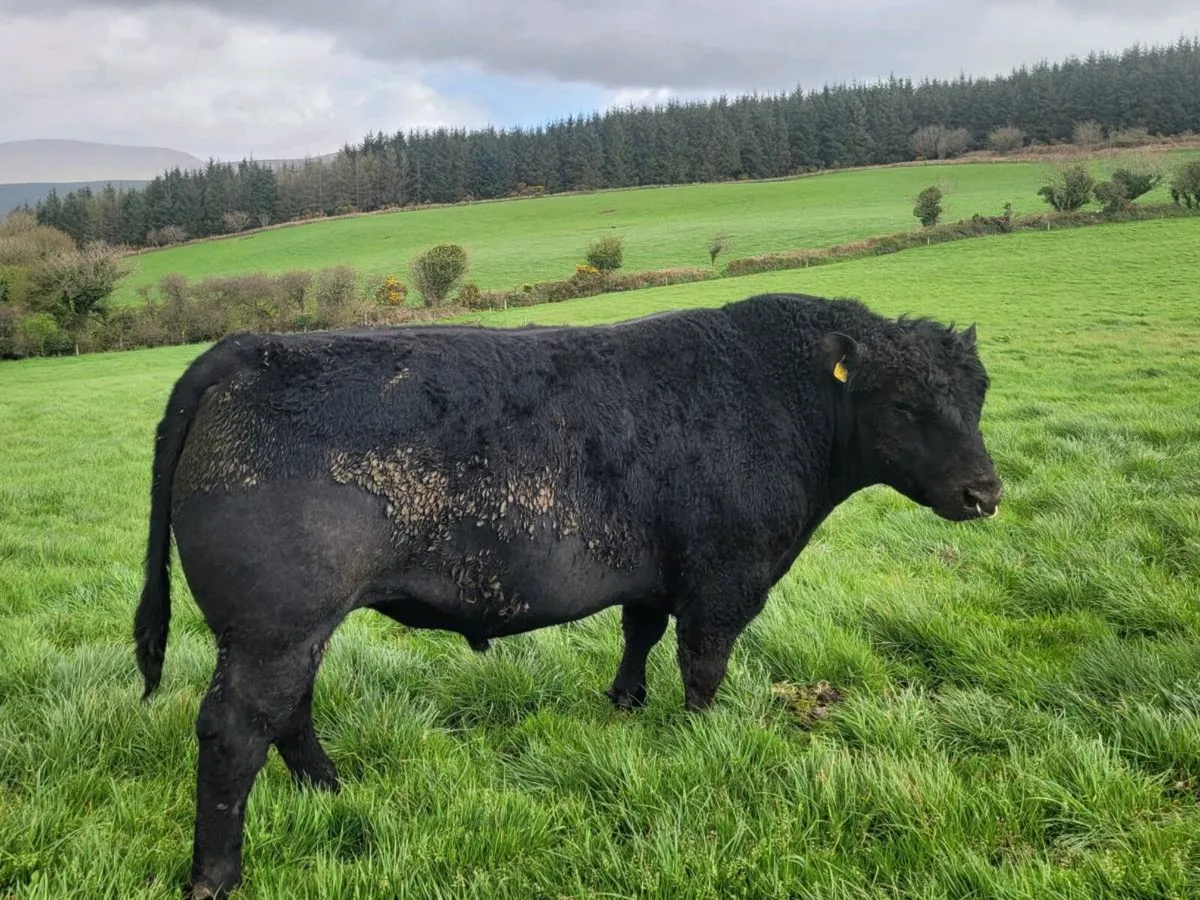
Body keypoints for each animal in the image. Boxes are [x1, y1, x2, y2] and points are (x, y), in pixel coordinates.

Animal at [133, 291, 1002, 897]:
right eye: (903, 404)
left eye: (979, 397)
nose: (985, 492)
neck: (784, 401)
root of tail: (250, 349)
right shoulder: (725, 575)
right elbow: (704, 665)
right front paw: (700, 740)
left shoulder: (657, 572)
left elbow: (640, 632)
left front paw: (625, 703)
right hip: (274, 625)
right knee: (236, 731)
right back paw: (217, 876)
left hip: (292, 626)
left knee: (291, 710)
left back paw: (333, 788)